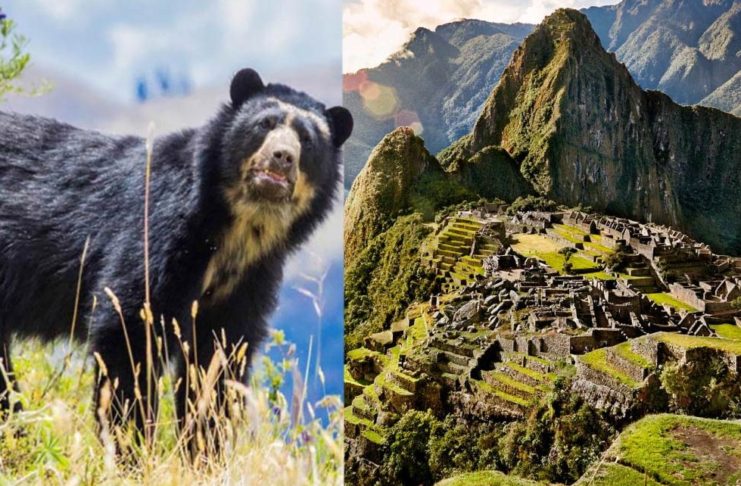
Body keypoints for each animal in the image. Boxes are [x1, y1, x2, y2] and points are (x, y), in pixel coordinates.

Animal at [0, 68, 352, 452]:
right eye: (265, 124)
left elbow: (217, 364)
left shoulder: (250, 279)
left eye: (307, 139)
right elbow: (130, 333)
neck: (239, 228)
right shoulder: (158, 235)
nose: (282, 157)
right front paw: (132, 448)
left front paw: (205, 451)